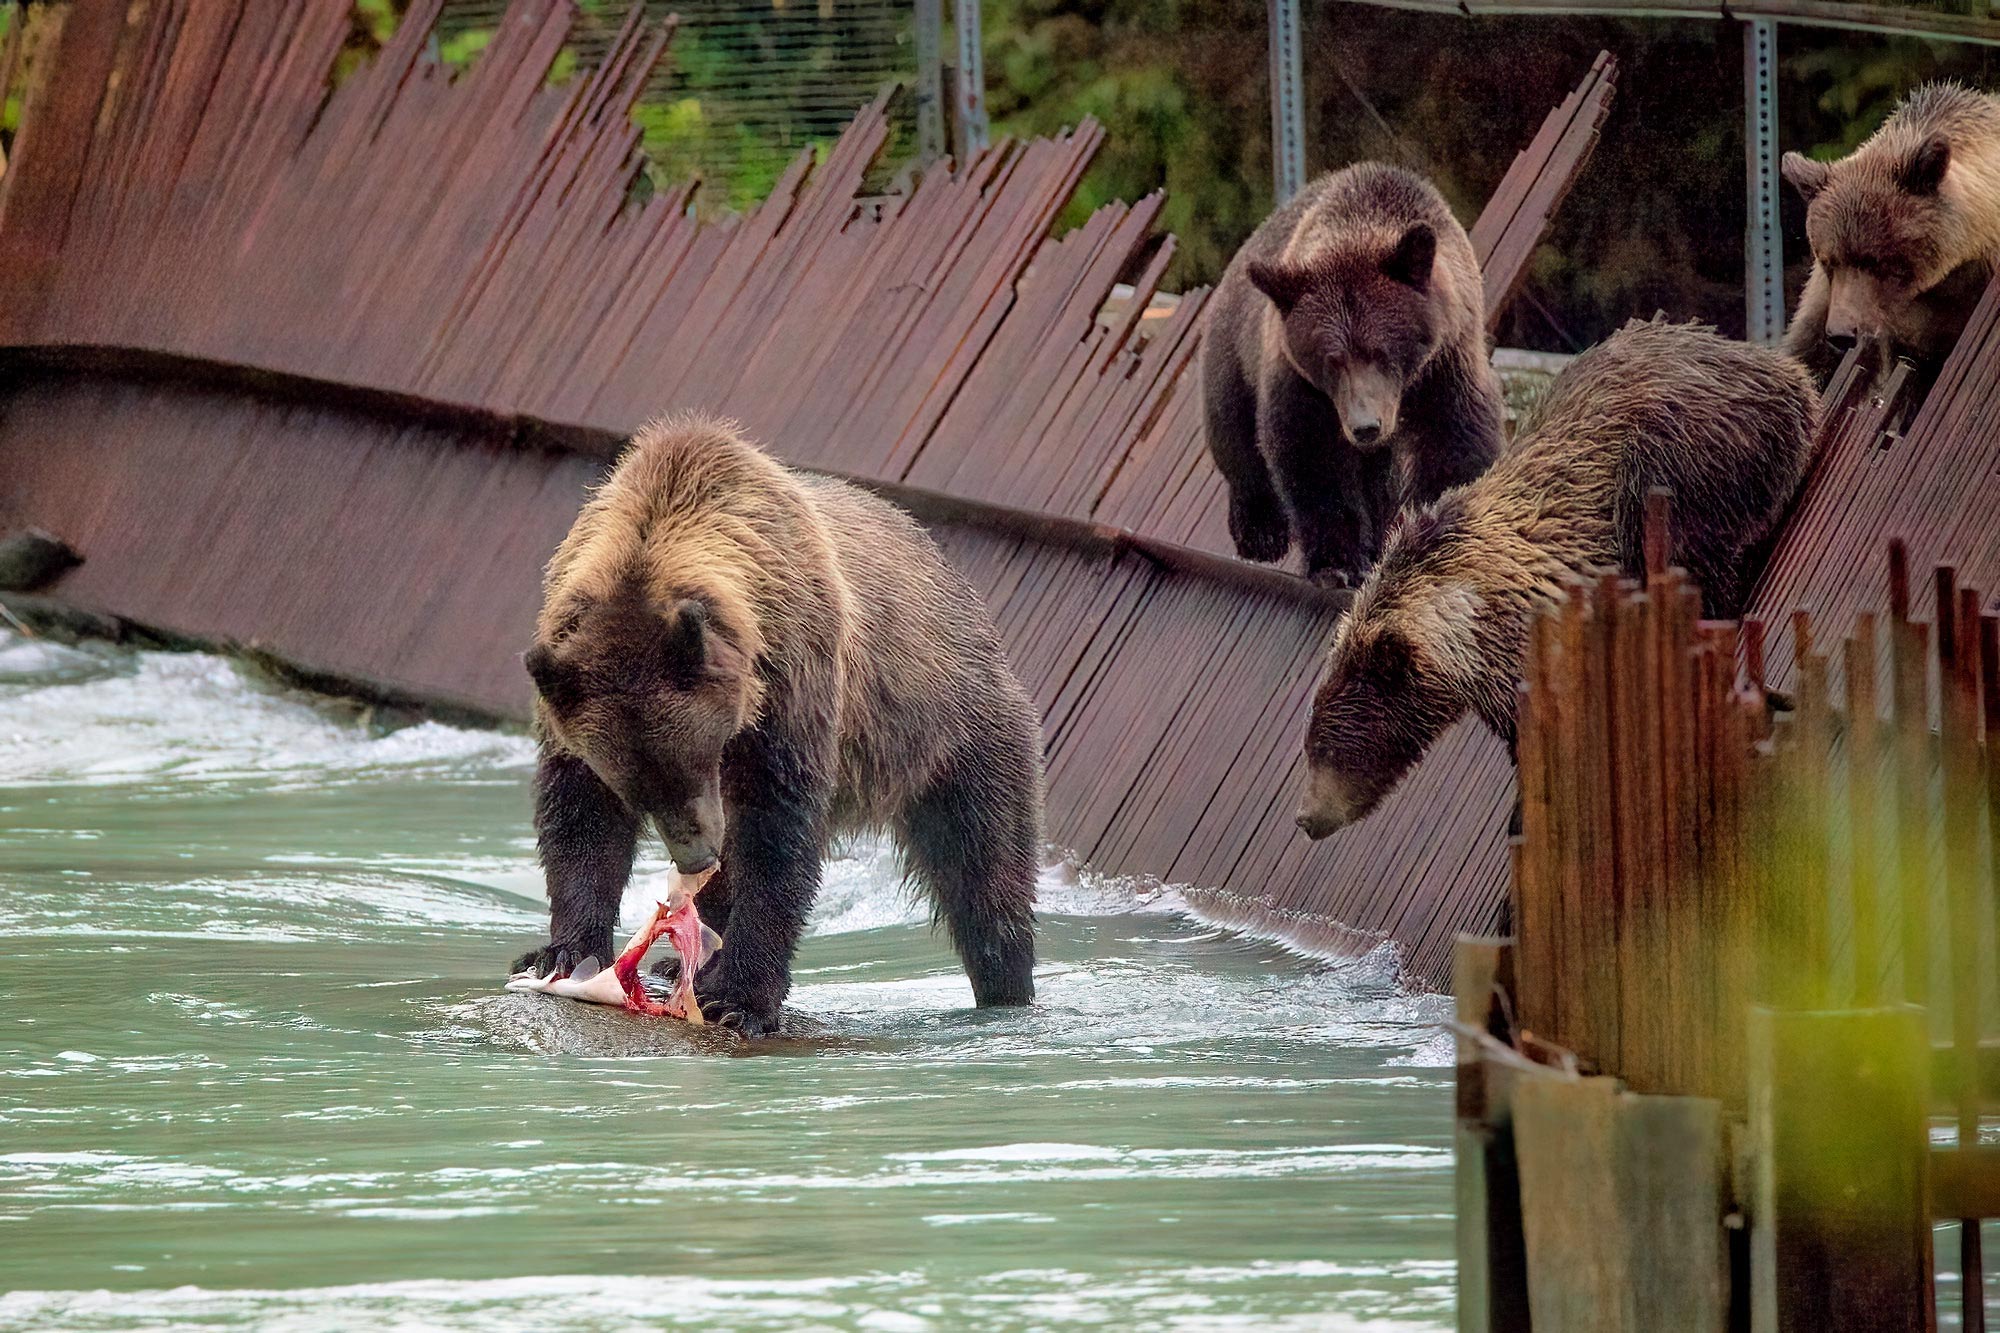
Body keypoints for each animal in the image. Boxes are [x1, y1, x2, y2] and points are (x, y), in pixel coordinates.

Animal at [512, 412, 1048, 1024]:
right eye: (637, 785)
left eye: (699, 758)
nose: (697, 855)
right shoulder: (571, 696)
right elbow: (581, 816)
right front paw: (561, 952)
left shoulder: (792, 680)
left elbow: (776, 831)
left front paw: (740, 999)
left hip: (954, 729)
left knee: (984, 861)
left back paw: (1007, 985)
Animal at [1200, 162, 1504, 588]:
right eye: (1332, 359)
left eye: (1382, 350)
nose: (1365, 427)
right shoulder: (1301, 382)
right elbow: (1311, 454)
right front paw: (1337, 563)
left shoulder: (1445, 363)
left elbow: (1454, 439)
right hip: (1234, 348)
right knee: (1233, 427)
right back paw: (1261, 532)